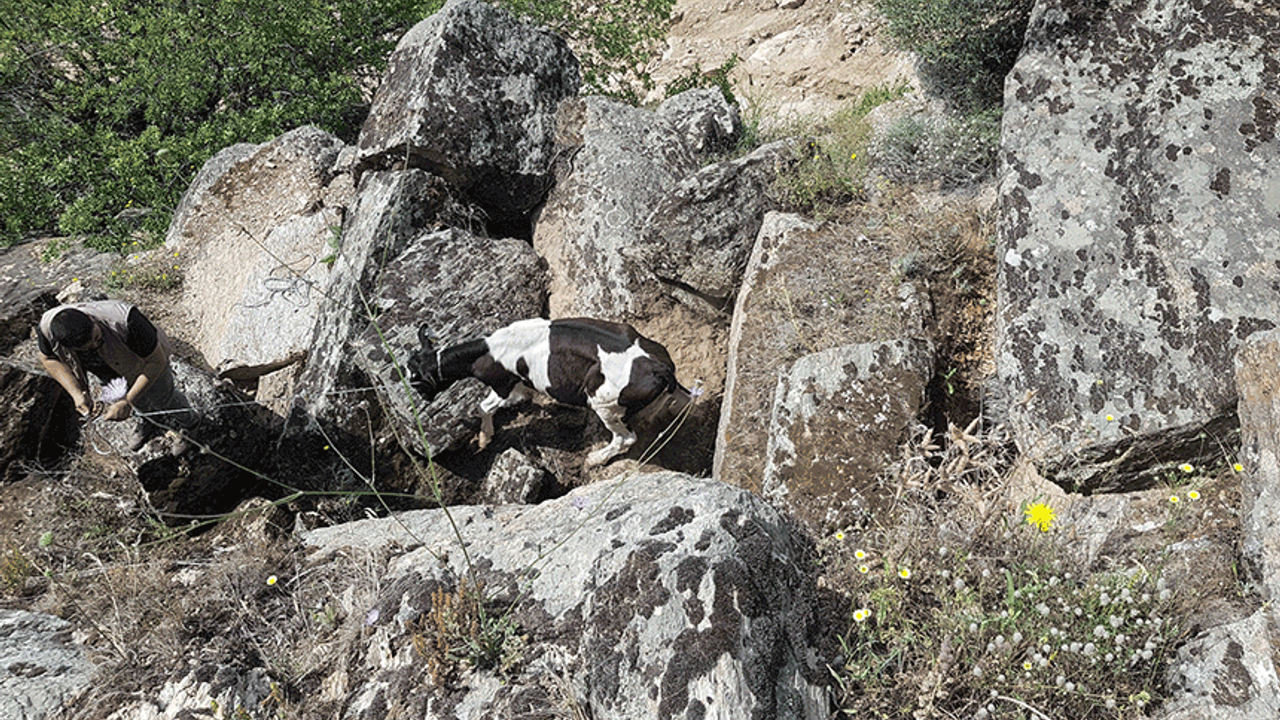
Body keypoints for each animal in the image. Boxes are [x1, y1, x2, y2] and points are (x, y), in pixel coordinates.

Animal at [407, 318, 691, 466]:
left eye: (416, 382)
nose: (422, 399)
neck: (486, 350)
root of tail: (657, 367)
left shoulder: (500, 382)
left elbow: (484, 407)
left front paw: (485, 437)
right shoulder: (518, 379)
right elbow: (520, 394)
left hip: (603, 402)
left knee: (625, 438)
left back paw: (595, 458)